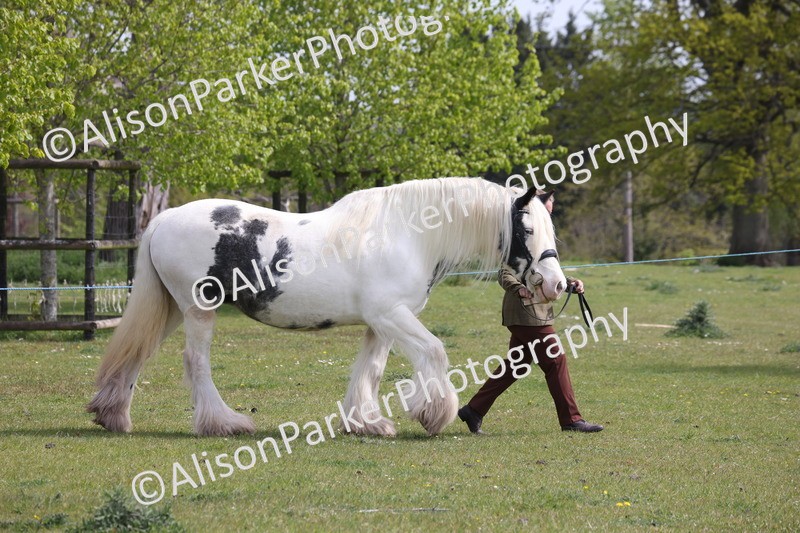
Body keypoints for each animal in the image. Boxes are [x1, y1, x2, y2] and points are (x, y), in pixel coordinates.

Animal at [87, 177, 567, 437]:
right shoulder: (391, 316)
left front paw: (367, 423)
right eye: (526, 229)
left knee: (137, 353)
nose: (556, 284)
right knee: (195, 363)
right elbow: (434, 351)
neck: (409, 232)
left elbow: (369, 370)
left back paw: (112, 415)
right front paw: (433, 414)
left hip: (170, 308)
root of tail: (163, 219)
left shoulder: (381, 322)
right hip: (198, 309)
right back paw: (223, 423)